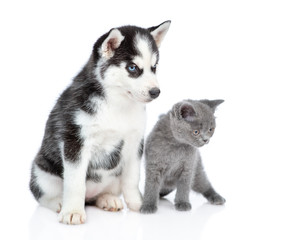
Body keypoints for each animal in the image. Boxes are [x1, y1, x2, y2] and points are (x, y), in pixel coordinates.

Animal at [29, 21, 171, 225]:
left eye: (154, 67)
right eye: (132, 68)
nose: (155, 92)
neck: (116, 104)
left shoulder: (135, 143)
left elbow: (132, 178)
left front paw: (138, 203)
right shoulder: (75, 141)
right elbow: (75, 182)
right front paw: (73, 211)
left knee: (101, 194)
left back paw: (107, 199)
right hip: (41, 172)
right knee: (44, 195)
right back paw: (58, 203)